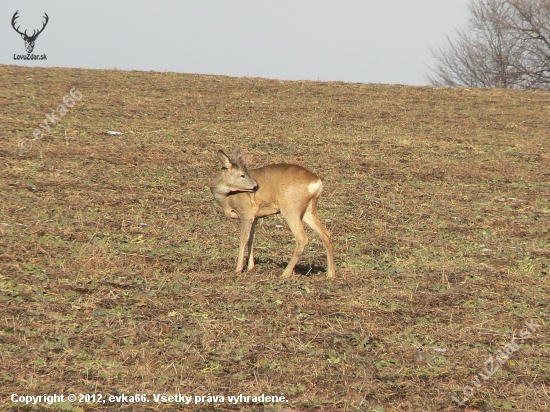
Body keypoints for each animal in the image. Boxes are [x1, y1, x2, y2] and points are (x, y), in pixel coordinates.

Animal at [209, 148, 334, 280]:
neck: (226, 198)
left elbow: (243, 239)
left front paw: (238, 269)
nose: (256, 186)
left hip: (291, 208)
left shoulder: (246, 213)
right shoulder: (255, 216)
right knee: (326, 234)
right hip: (308, 210)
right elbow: (251, 239)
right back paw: (331, 274)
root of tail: (317, 182)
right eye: (243, 174)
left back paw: (285, 273)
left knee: (302, 238)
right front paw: (251, 267)